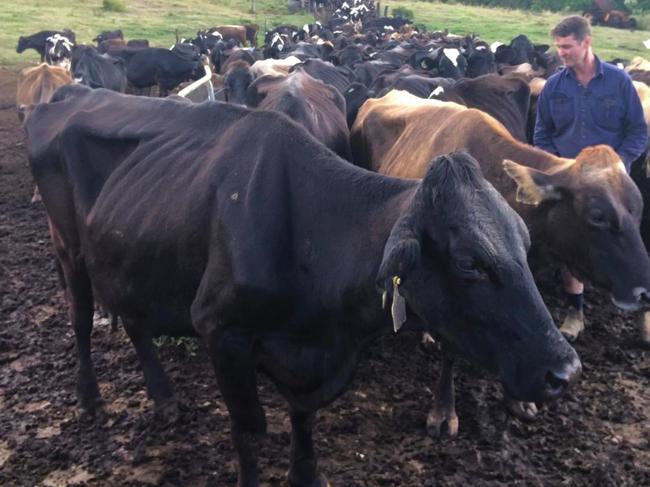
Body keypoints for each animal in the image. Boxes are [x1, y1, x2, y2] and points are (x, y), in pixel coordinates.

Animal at [27, 84, 580, 487]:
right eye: (469, 263)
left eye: (525, 242)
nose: (565, 371)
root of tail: (68, 93)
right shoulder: (222, 333)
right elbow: (250, 430)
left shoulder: (310, 360)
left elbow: (303, 419)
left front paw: (305, 474)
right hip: (67, 247)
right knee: (81, 317)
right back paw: (90, 398)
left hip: (128, 255)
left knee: (135, 319)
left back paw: (163, 399)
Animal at [352, 91, 648, 434]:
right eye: (597, 216)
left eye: (638, 208)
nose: (644, 292)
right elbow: (451, 351)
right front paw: (443, 410)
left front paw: (517, 399)